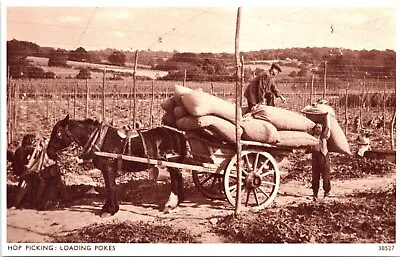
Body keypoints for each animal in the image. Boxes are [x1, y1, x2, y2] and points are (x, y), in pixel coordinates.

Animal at [46, 114, 187, 216]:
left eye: (58, 133)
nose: (49, 152)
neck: (100, 140)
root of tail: (178, 133)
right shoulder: (108, 170)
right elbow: (110, 187)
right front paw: (107, 207)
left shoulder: (108, 168)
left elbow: (111, 187)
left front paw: (111, 210)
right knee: (177, 178)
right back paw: (176, 202)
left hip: (172, 162)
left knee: (176, 179)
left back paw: (170, 204)